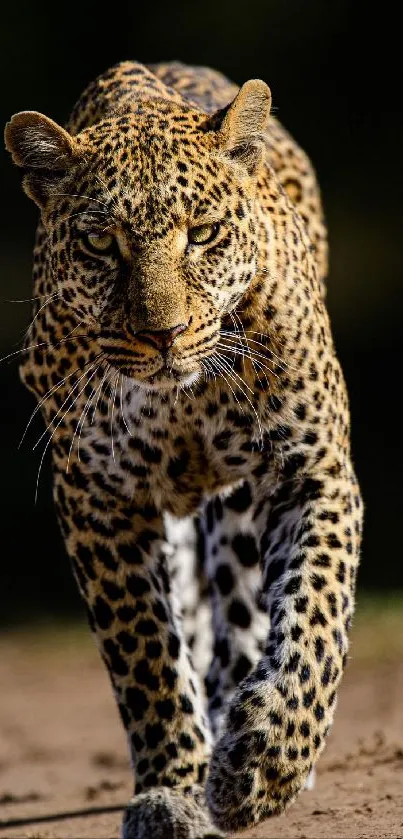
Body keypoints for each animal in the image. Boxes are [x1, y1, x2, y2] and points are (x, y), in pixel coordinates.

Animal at [3, 60, 362, 839]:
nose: (162, 335)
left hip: (238, 511)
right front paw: (171, 790)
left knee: (244, 613)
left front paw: (264, 763)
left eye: (201, 234)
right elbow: (146, 655)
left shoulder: (311, 470)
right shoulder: (98, 498)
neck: (182, 398)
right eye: (100, 244)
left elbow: (314, 618)